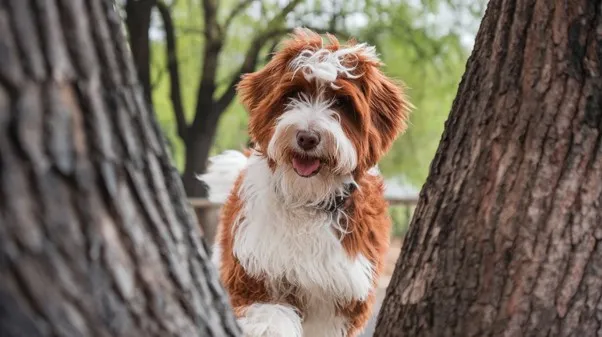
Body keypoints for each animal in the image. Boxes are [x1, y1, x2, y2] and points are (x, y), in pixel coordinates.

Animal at [199, 28, 410, 336]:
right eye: (295, 93)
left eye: (342, 103)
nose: (307, 137)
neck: (307, 199)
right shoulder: (254, 275)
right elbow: (270, 316)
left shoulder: (342, 294)